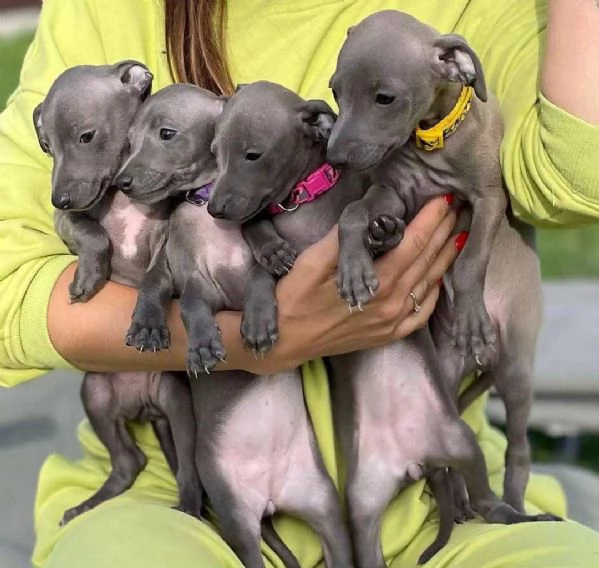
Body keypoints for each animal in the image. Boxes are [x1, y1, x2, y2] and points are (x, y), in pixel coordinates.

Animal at [35, 63, 204, 524]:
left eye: (87, 136)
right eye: (46, 146)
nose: (59, 196)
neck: (121, 195)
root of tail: (140, 406)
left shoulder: (166, 233)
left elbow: (155, 275)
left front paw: (147, 320)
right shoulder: (67, 221)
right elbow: (91, 232)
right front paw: (89, 276)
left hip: (176, 400)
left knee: (186, 465)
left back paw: (189, 505)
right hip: (95, 394)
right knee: (130, 462)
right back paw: (86, 505)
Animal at [115, 83, 354, 568]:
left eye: (166, 133)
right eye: (127, 141)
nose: (122, 182)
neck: (205, 214)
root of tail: (271, 495)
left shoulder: (248, 274)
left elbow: (261, 281)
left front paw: (259, 323)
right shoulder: (194, 283)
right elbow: (189, 305)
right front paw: (202, 344)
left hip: (324, 507)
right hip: (237, 518)